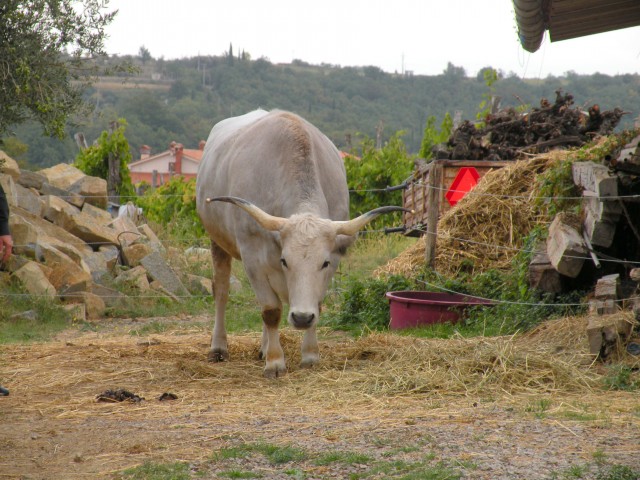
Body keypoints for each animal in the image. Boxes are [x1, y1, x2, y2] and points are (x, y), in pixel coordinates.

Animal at [196, 109, 404, 378]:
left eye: (324, 263)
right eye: (285, 260)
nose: (302, 318)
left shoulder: (333, 258)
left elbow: (315, 304)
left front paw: (309, 355)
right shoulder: (253, 257)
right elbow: (270, 311)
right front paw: (275, 362)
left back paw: (263, 348)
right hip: (218, 242)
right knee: (222, 292)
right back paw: (219, 348)